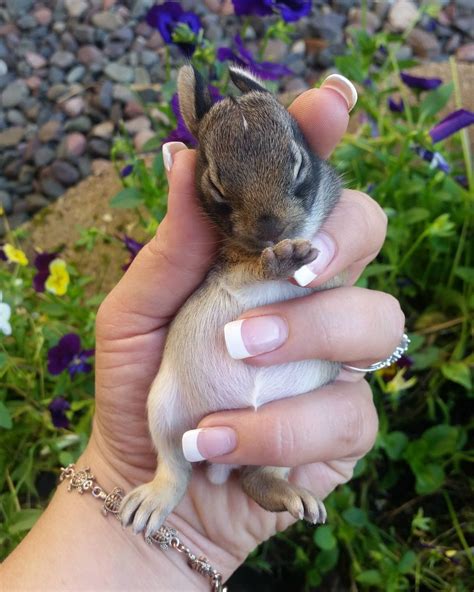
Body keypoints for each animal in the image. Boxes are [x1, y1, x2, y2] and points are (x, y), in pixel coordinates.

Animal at [118, 67, 340, 540]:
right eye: (217, 187)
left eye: (299, 165)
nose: (272, 229)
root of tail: (223, 463)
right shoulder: (229, 270)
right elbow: (250, 272)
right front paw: (282, 260)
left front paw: (293, 255)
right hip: (163, 413)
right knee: (175, 469)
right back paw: (151, 502)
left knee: (257, 477)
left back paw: (289, 496)